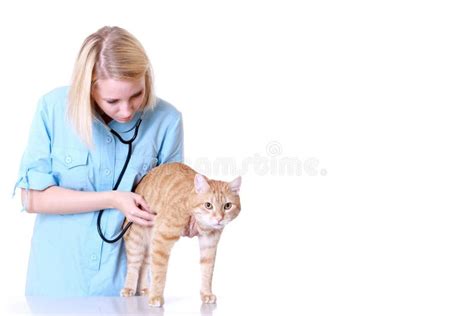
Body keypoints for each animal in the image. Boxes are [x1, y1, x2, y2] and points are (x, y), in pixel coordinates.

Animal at [120, 162, 243, 304]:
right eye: (208, 205)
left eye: (227, 206)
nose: (219, 218)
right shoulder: (162, 239)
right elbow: (159, 273)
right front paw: (156, 296)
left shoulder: (209, 244)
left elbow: (207, 271)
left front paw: (206, 293)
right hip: (136, 239)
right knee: (134, 266)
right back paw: (129, 288)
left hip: (150, 244)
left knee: (144, 265)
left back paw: (144, 289)